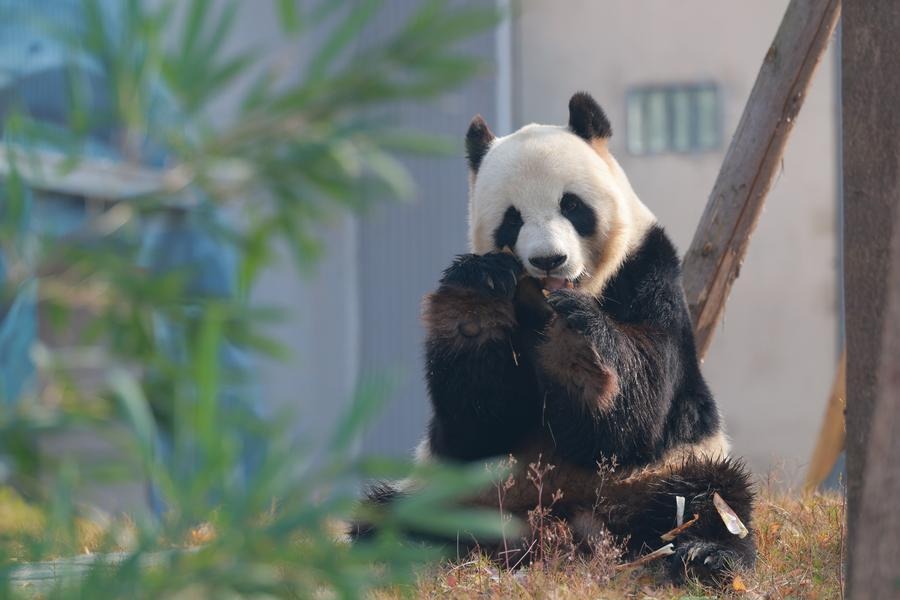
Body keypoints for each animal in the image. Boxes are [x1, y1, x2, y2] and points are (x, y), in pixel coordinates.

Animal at [354, 92, 755, 584]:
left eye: (573, 205)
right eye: (512, 219)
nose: (549, 260)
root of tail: (556, 526)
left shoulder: (649, 271)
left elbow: (641, 406)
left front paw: (578, 349)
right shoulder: (468, 443)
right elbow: (476, 425)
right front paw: (476, 306)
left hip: (661, 473)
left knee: (708, 499)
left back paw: (705, 555)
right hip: (455, 490)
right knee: (390, 517)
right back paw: (402, 553)